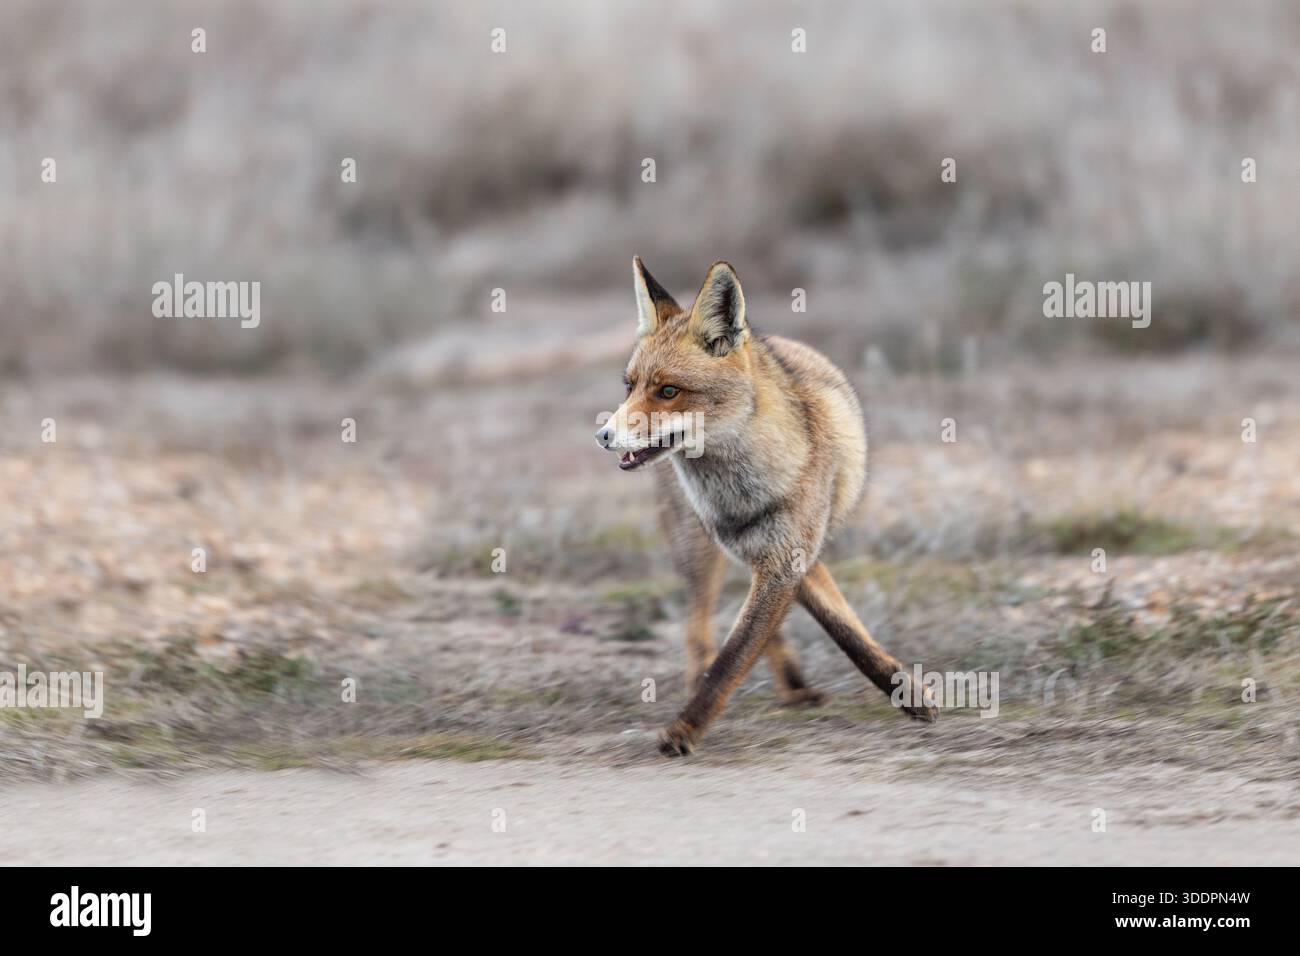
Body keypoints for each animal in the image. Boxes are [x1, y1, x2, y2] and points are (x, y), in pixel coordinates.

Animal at [596, 257, 938, 756]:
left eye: (668, 391)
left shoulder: (789, 555)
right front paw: (686, 727)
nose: (603, 435)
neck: (743, 490)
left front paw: (906, 692)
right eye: (630, 386)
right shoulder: (771, 558)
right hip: (701, 551)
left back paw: (794, 686)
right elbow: (732, 656)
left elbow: (823, 631)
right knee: (698, 629)